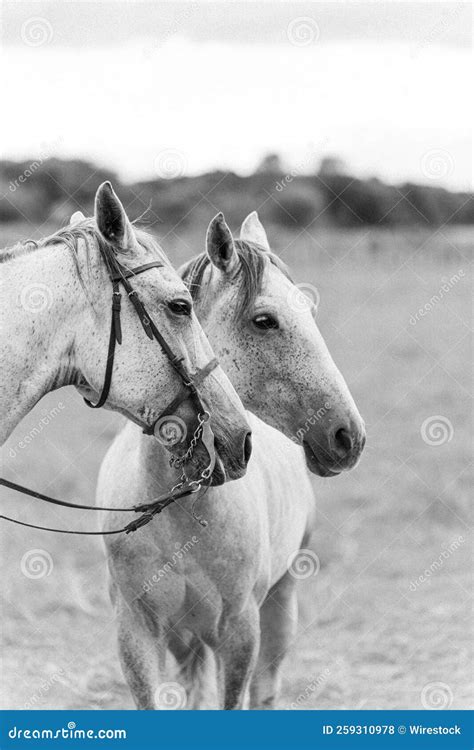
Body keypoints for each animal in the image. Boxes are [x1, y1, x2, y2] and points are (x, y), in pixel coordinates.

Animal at [97, 210, 366, 712]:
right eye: (264, 320)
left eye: (311, 311)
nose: (348, 436)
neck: (183, 508)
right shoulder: (137, 633)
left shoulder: (239, 633)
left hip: (279, 606)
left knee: (265, 692)